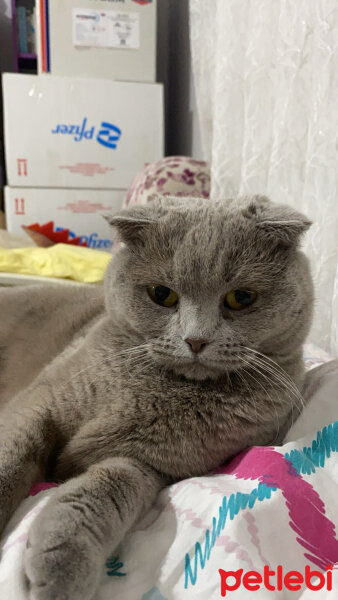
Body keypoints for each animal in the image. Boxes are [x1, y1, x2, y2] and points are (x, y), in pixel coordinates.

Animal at [0, 196, 312, 600]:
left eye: (240, 298)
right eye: (161, 294)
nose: (196, 340)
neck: (156, 388)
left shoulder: (148, 465)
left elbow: (102, 493)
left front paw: (59, 571)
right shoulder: (39, 403)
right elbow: (10, 457)